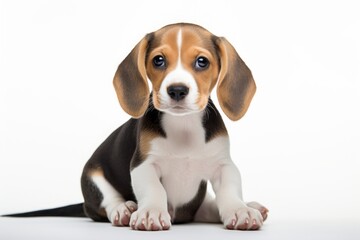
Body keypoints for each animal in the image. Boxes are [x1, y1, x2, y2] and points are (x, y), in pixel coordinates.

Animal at [5, 23, 268, 231]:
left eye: (202, 62)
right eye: (158, 60)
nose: (177, 90)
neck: (183, 126)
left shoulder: (224, 165)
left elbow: (230, 191)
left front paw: (240, 210)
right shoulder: (143, 164)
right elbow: (154, 190)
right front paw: (151, 211)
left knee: (209, 208)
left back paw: (251, 206)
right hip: (93, 176)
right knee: (108, 202)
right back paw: (124, 210)